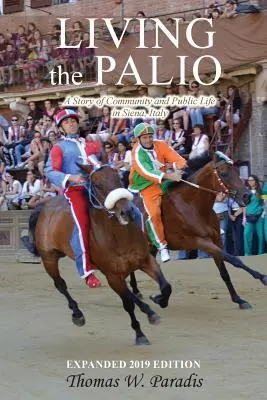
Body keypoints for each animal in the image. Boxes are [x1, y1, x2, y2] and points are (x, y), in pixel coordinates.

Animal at [25, 164, 172, 346]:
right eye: (97, 185)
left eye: (119, 178)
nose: (127, 211)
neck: (119, 237)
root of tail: (44, 206)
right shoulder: (112, 275)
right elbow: (128, 303)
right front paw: (141, 331)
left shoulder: (145, 260)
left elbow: (165, 286)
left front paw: (159, 301)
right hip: (49, 258)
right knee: (60, 285)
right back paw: (77, 314)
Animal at [131, 152, 267, 310]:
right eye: (224, 173)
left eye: (238, 172)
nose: (247, 196)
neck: (192, 205)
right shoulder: (200, 241)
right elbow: (234, 259)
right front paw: (262, 277)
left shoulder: (217, 241)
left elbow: (224, 272)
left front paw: (238, 299)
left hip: (150, 247)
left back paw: (145, 293)